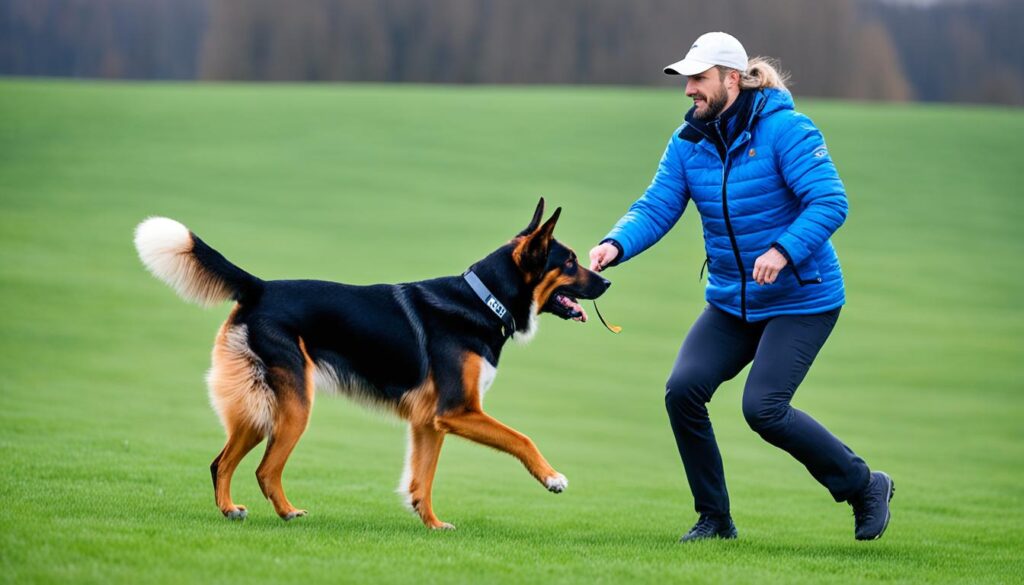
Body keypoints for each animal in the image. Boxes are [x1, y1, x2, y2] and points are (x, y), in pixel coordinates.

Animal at [130, 198, 606, 528]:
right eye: (569, 262)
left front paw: (433, 524)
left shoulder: (430, 421)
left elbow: (422, 481)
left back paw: (230, 510)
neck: (483, 299)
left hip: (260, 406)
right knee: (265, 469)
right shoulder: (459, 411)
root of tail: (260, 287)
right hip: (293, 406)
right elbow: (521, 439)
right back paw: (288, 513)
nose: (606, 280)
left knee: (221, 462)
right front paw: (552, 478)